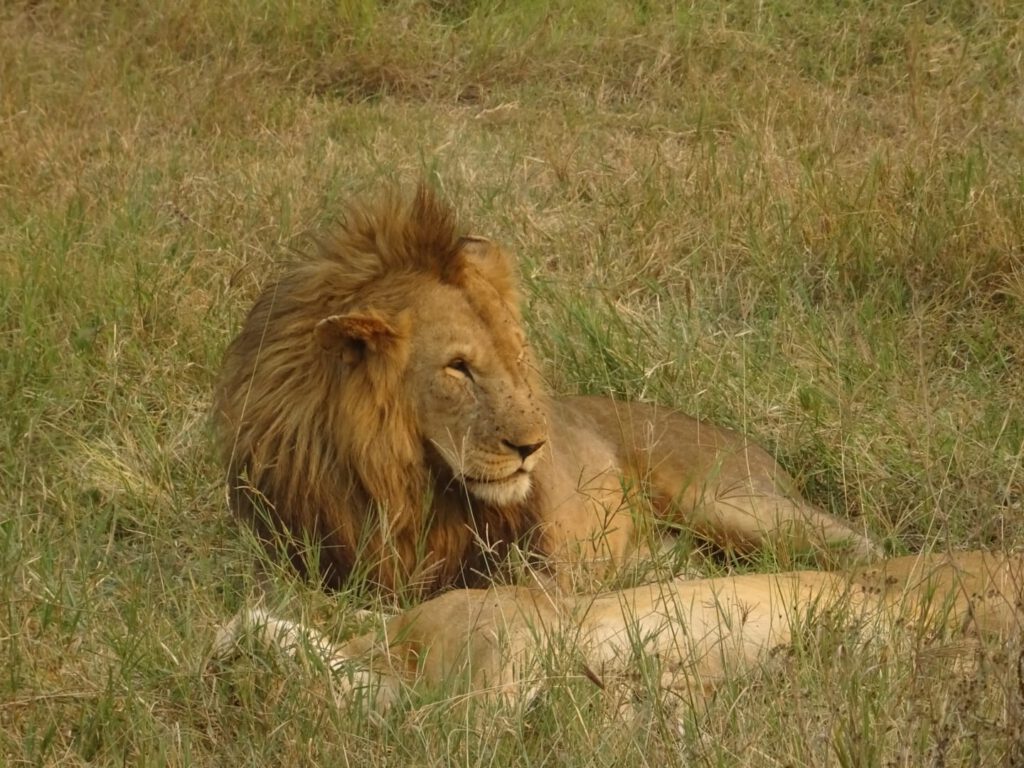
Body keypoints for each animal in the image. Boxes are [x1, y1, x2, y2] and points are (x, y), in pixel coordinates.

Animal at [216, 186, 880, 593]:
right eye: (458, 367)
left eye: (515, 355)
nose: (533, 448)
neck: (399, 480)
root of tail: (759, 450)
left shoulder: (534, 566)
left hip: (730, 502)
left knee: (864, 545)